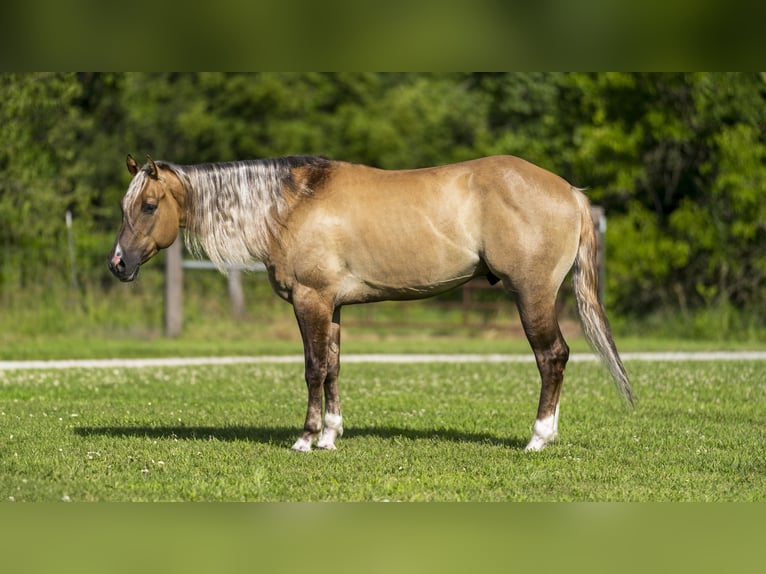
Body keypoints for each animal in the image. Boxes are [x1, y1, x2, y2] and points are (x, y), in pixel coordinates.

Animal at [108, 153, 636, 454]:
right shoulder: (333, 306)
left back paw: (538, 438)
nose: (118, 264)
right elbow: (334, 368)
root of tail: (570, 192)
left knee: (552, 357)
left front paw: (306, 438)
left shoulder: (311, 300)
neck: (292, 204)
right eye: (124, 207)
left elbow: (313, 369)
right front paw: (330, 435)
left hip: (533, 295)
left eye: (149, 206)